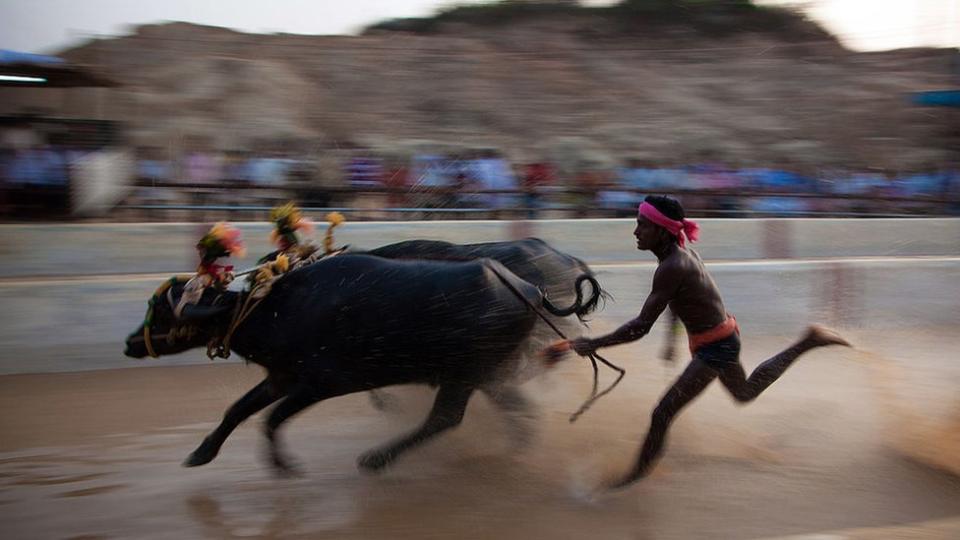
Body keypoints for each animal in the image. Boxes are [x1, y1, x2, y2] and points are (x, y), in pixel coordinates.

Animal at [125, 253, 592, 472]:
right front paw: (200, 454)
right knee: (517, 410)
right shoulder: (281, 377)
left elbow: (271, 418)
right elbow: (237, 410)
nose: (130, 343)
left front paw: (283, 465)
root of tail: (528, 289)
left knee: (444, 419)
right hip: (486, 375)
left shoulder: (320, 383)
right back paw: (514, 450)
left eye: (161, 310)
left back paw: (376, 459)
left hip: (462, 375)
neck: (276, 308)